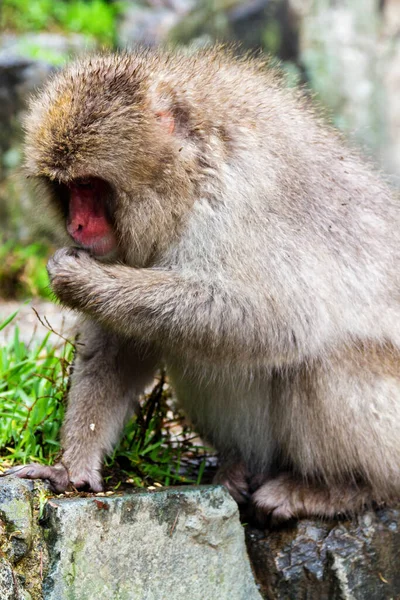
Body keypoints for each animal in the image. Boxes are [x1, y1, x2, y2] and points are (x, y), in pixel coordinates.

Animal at [8, 48, 400, 520]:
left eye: (88, 185)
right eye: (65, 188)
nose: (76, 225)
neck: (186, 172)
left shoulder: (241, 199)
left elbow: (280, 321)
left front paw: (81, 280)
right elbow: (120, 346)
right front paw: (72, 468)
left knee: (321, 362)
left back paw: (347, 488)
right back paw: (238, 467)